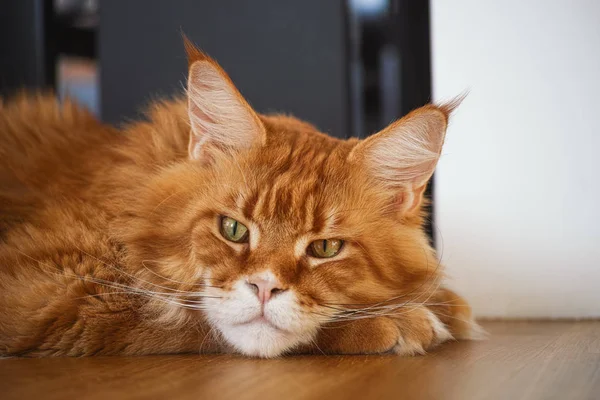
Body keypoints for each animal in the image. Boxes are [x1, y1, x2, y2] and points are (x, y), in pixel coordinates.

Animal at [0, 37, 480, 356]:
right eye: (232, 228)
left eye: (326, 248)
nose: (264, 288)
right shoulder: (50, 289)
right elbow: (180, 315)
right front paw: (402, 319)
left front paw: (439, 303)